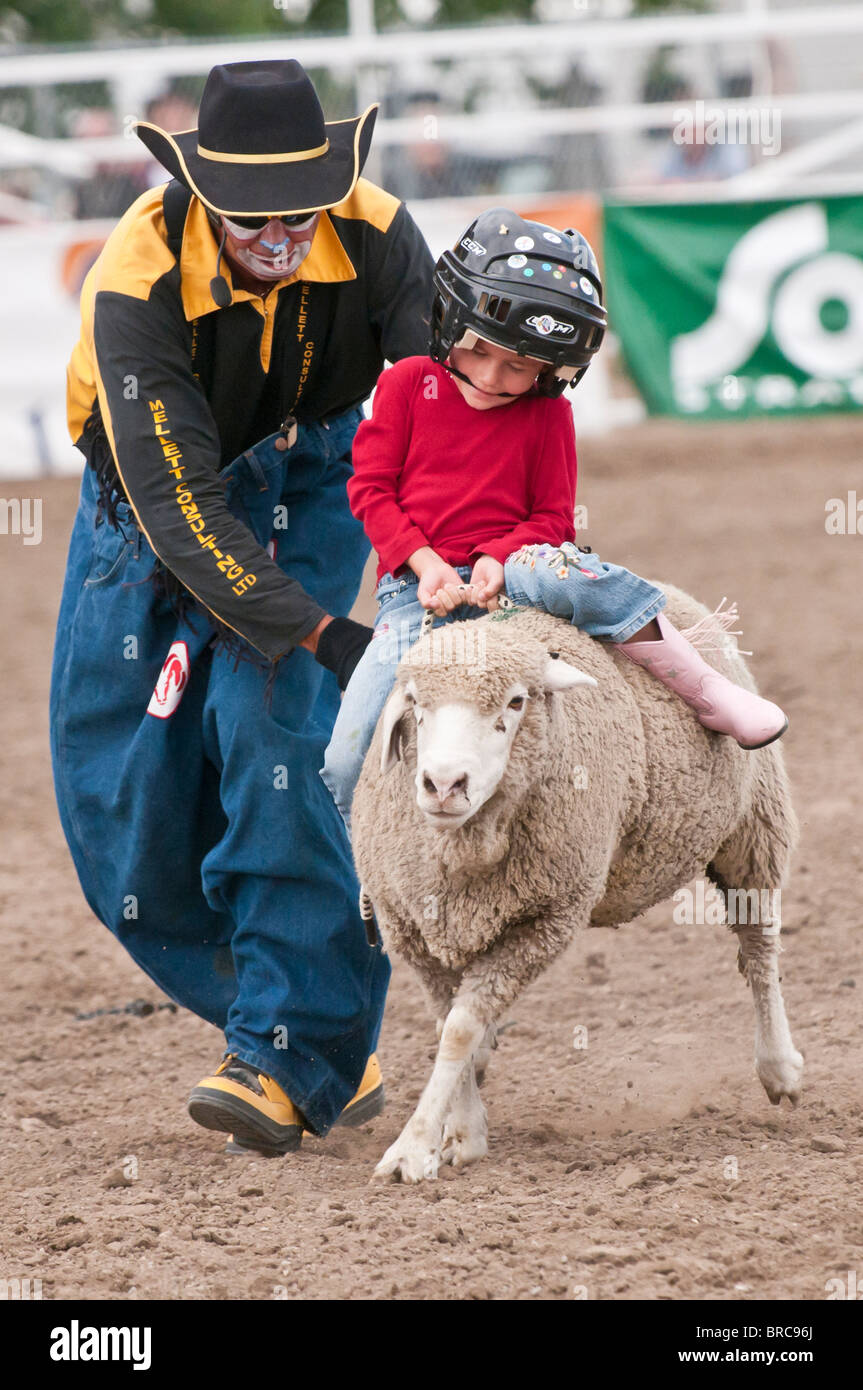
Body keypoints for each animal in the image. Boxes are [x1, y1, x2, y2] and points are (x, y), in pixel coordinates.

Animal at [350, 586, 800, 1184]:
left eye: (516, 703)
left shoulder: (543, 921)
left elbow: (460, 1029)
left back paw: (779, 1068)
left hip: (754, 826)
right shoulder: (412, 928)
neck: (464, 853)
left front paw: (416, 1145)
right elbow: (452, 1025)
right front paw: (461, 1130)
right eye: (417, 705)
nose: (443, 785)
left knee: (759, 949)